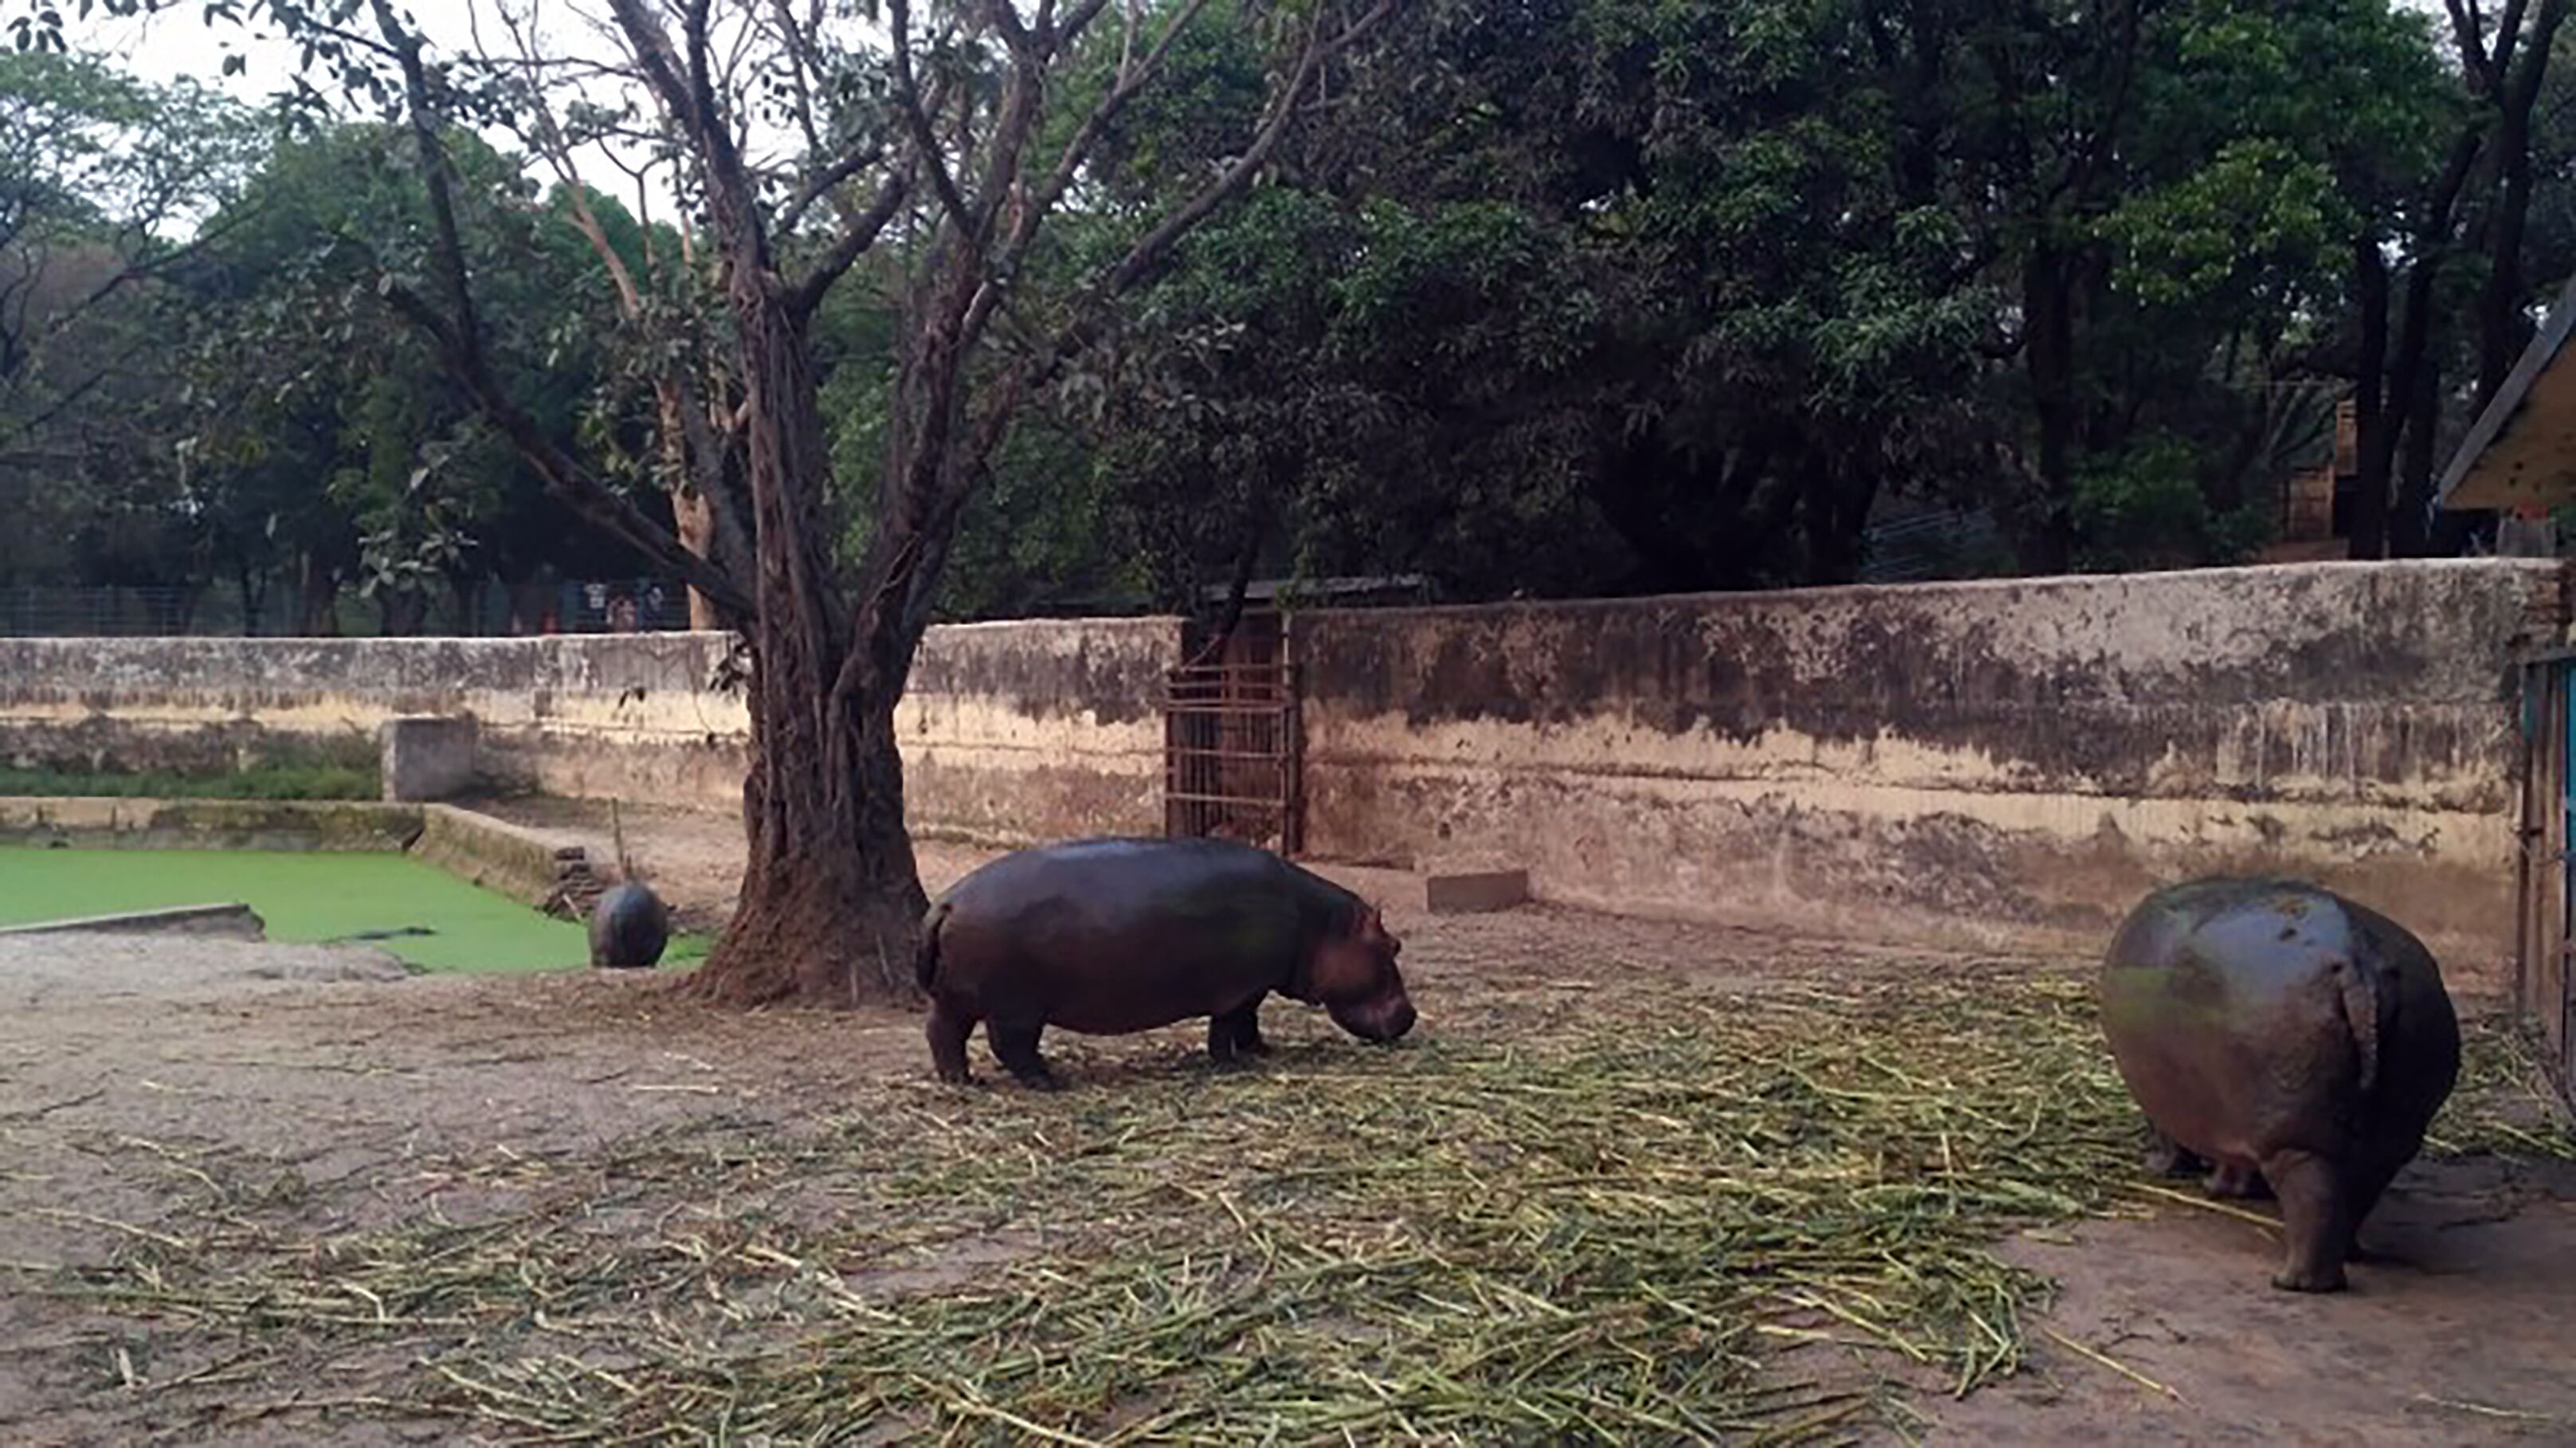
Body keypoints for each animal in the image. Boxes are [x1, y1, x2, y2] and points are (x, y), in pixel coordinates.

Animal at [914, 836, 1418, 1089]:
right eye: (1392, 946)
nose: (1411, 1017)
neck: (1319, 926)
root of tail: (948, 902)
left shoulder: (1252, 986)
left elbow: (1248, 1024)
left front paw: (1262, 1051)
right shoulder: (1240, 986)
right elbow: (1228, 1025)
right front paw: (1232, 1064)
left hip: (957, 998)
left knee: (943, 1034)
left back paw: (962, 1082)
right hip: (1016, 1005)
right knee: (1010, 1045)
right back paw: (1049, 1080)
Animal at [2099, 878, 2460, 1292]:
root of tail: (2356, 963)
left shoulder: (2169, 1098)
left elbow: (2169, 1134)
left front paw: (2164, 1169)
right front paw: (2225, 1187)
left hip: (2294, 1139)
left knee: (2314, 1198)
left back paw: (2293, 1282)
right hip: (2387, 1135)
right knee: (2355, 1193)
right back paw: (2348, 1256)